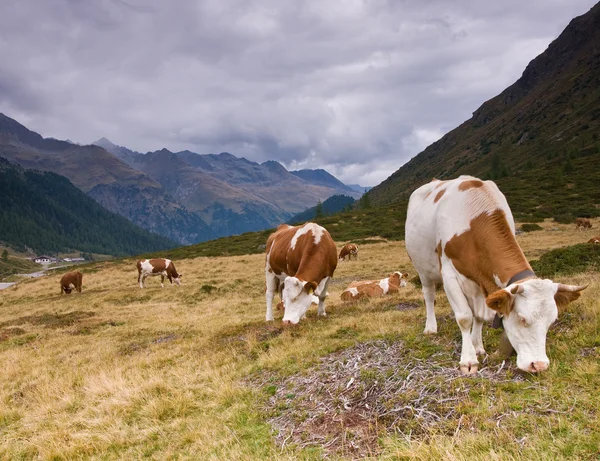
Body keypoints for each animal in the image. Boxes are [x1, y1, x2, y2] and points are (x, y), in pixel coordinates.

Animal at [404, 176, 584, 374]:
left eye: (551, 321)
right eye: (522, 318)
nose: (539, 365)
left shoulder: (483, 283)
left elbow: (480, 316)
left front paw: (477, 346)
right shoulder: (449, 274)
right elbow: (464, 317)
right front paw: (468, 360)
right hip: (423, 269)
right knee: (429, 296)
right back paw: (430, 328)